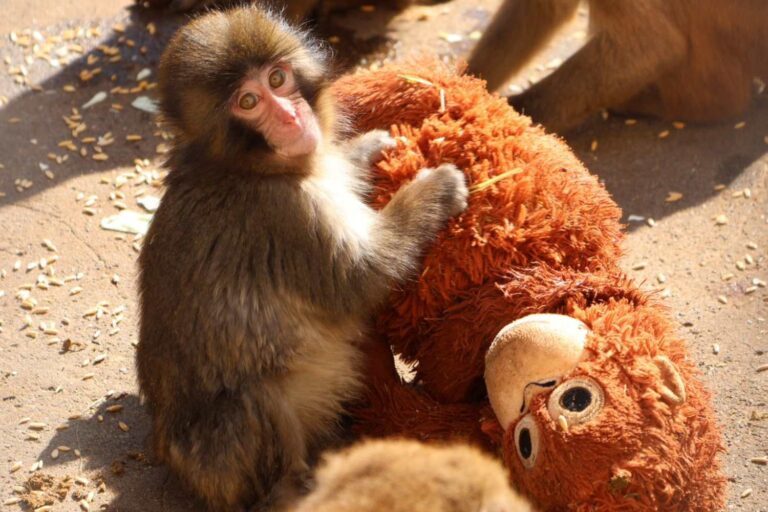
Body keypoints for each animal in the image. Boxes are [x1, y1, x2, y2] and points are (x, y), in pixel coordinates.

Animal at [136, 6, 468, 512]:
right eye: (248, 101)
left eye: (278, 78)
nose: (292, 116)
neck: (246, 167)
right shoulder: (286, 215)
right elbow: (361, 278)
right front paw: (435, 190)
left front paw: (365, 149)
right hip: (221, 464)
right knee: (253, 400)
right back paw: (297, 486)